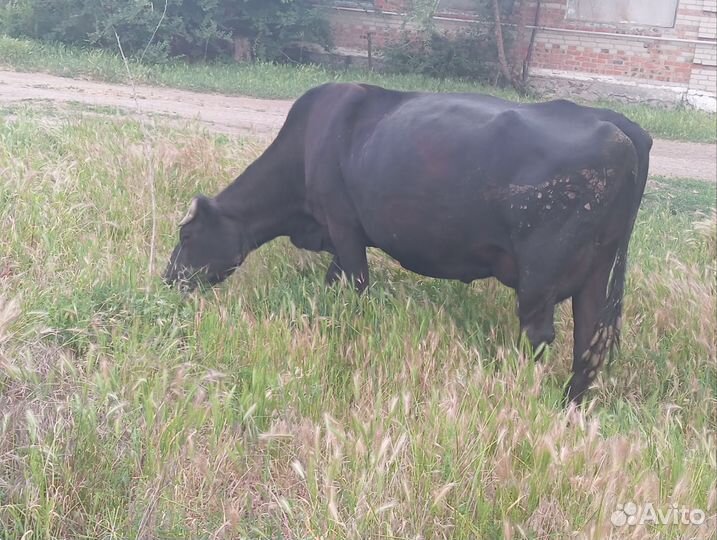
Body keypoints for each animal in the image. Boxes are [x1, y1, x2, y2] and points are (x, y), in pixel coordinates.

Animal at [164, 83, 652, 405]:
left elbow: (357, 286)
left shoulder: (344, 226)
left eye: (187, 236)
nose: (168, 281)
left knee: (539, 335)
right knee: (590, 343)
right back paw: (568, 407)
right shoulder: (340, 238)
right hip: (602, 271)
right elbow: (335, 282)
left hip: (540, 275)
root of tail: (617, 124)